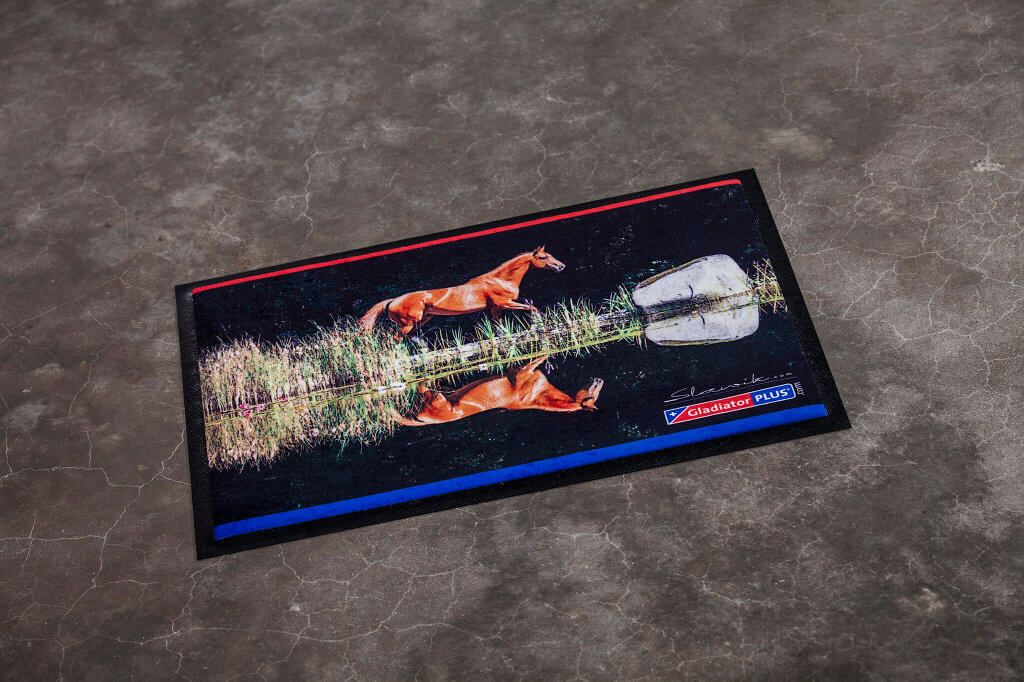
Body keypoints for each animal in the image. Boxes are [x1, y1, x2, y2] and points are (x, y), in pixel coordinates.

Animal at [358, 246, 566, 337]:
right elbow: (533, 308)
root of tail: (393, 300)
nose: (561, 266)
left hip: (421, 320)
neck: (500, 280)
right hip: (408, 323)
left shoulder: (495, 309)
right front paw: (538, 325)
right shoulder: (505, 304)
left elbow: (499, 328)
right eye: (543, 257)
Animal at [394, 355, 603, 427]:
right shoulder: (519, 371)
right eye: (595, 392)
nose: (599, 379)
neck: (539, 395)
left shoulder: (520, 372)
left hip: (430, 396)